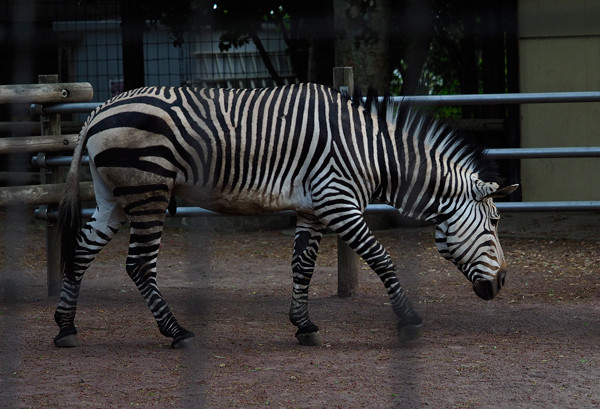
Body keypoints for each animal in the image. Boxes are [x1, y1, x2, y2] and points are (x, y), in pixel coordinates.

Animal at [54, 83, 516, 348]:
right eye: (494, 222)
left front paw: (304, 325)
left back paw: (65, 328)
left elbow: (302, 266)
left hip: (113, 196)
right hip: (148, 191)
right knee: (138, 265)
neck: (374, 153)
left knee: (79, 253)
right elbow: (381, 259)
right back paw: (177, 332)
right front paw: (409, 320)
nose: (502, 284)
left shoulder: (314, 208)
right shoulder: (339, 202)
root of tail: (100, 109)